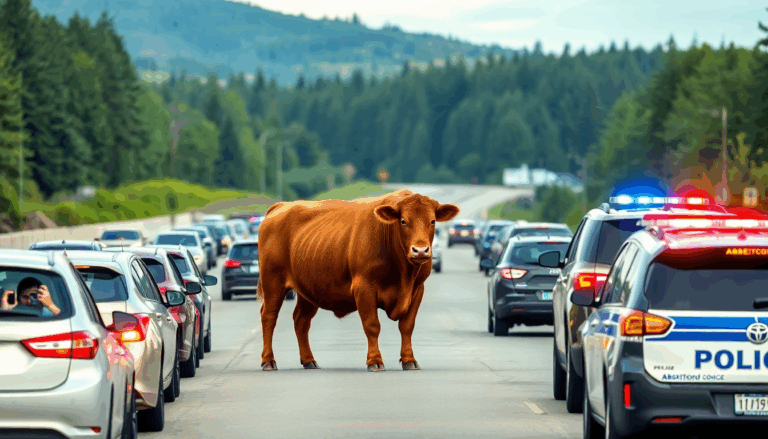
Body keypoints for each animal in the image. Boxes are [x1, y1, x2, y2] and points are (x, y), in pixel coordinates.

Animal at [257, 189, 459, 371]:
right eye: (403, 221)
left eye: (432, 221)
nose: (420, 250)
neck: (404, 274)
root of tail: (281, 206)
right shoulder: (364, 287)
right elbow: (372, 325)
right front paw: (375, 361)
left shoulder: (417, 289)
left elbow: (407, 326)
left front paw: (409, 360)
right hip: (273, 282)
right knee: (269, 317)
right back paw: (268, 361)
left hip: (308, 289)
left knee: (301, 320)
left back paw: (309, 360)